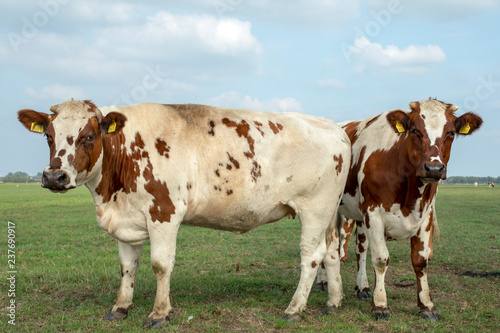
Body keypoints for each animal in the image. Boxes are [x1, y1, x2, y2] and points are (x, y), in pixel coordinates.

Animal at [17, 98, 350, 326]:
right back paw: (334, 302)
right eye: (48, 136)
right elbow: (127, 266)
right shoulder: (126, 219)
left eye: (88, 136)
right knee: (332, 251)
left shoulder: (164, 213)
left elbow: (160, 265)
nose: (54, 177)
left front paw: (159, 312)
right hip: (329, 213)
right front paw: (120, 307)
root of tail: (335, 127)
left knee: (312, 255)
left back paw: (295, 308)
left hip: (314, 208)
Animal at [314, 98, 482, 320]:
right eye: (415, 131)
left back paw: (363, 287)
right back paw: (323, 281)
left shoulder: (425, 215)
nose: (434, 169)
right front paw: (380, 304)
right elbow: (380, 259)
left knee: (361, 248)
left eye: (451, 134)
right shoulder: (374, 213)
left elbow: (420, 261)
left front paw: (427, 305)